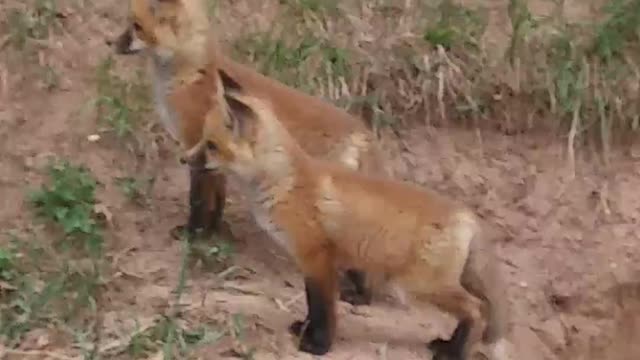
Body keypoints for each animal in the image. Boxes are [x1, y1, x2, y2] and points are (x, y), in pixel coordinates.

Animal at [109, 0, 384, 304]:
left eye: (136, 26)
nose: (110, 42)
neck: (192, 75)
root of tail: (363, 132)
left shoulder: (199, 148)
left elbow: (199, 201)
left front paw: (193, 234)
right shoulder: (214, 159)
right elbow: (216, 202)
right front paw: (212, 234)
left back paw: (360, 297)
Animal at [182, 69, 512, 360]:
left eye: (210, 146)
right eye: (203, 141)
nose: (183, 158)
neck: (285, 183)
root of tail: (467, 215)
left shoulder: (318, 259)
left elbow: (324, 309)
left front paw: (319, 345)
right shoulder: (311, 262)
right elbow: (313, 307)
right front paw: (305, 331)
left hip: (422, 285)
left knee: (477, 310)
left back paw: (456, 352)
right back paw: (448, 345)